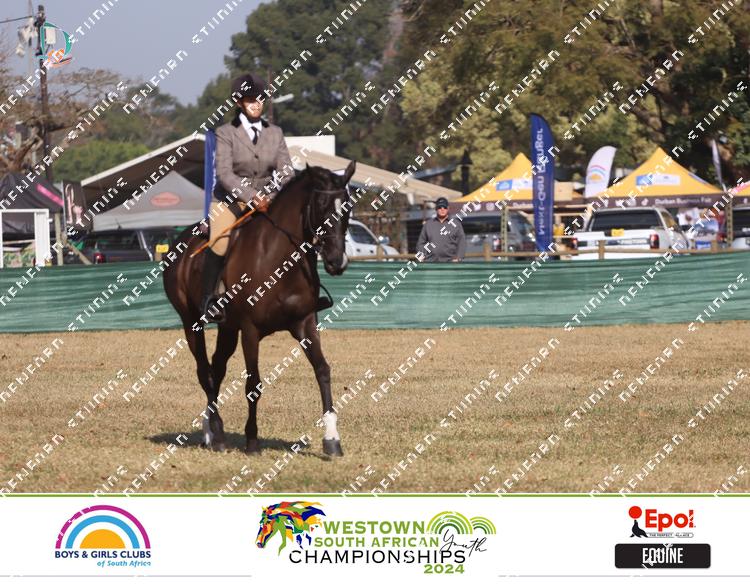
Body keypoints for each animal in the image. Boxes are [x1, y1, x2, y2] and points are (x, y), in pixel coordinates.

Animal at [163, 161, 355, 457]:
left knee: (216, 369)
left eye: (348, 206)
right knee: (204, 371)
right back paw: (217, 434)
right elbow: (253, 383)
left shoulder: (305, 323)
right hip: (191, 322)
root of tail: (179, 243)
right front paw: (252, 440)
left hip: (228, 328)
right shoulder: (250, 330)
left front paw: (332, 439)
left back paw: (210, 431)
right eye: (321, 205)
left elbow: (322, 370)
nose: (337, 262)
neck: (280, 260)